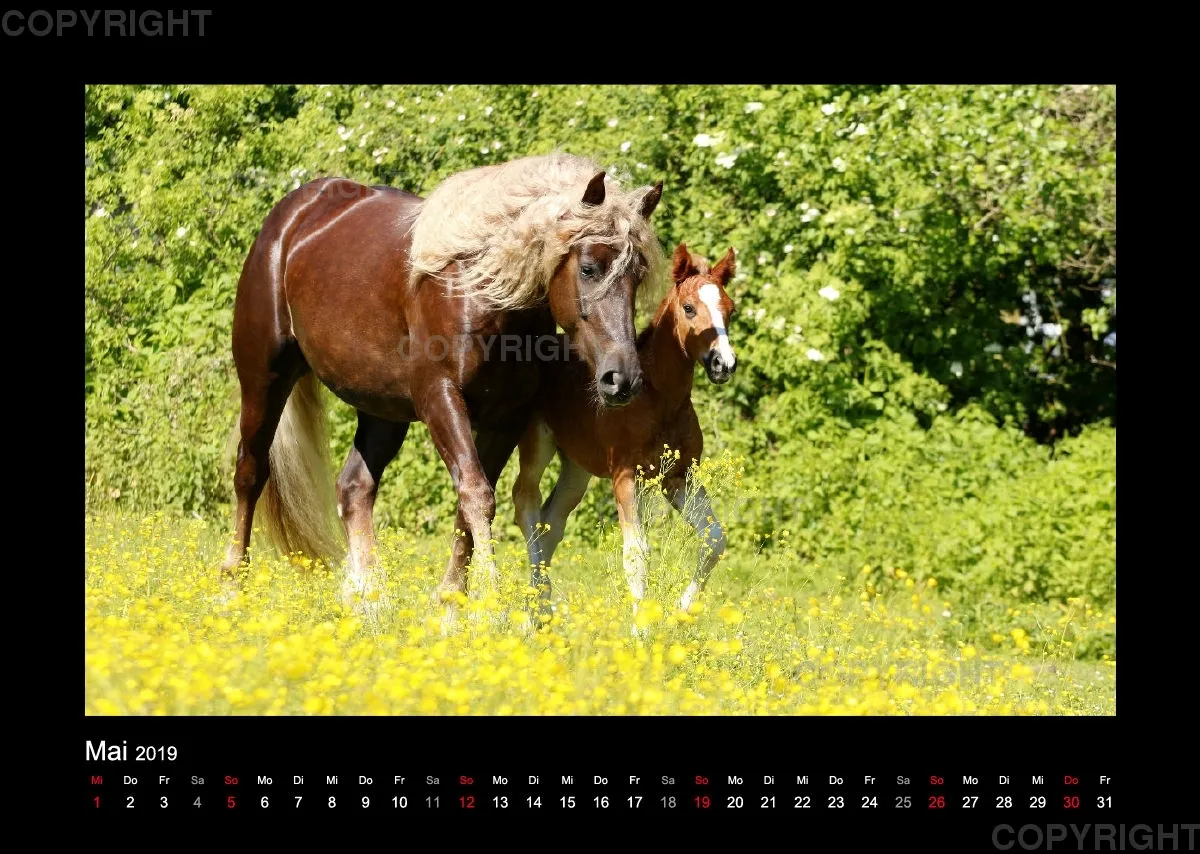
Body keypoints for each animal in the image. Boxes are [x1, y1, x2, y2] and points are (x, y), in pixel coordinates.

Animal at [219, 153, 667, 612]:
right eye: (589, 268)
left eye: (638, 276)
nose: (623, 379)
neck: (481, 292)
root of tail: (293, 215)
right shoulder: (441, 398)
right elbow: (476, 495)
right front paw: (488, 605)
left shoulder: (506, 418)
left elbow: (469, 504)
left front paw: (452, 603)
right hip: (264, 379)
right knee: (249, 472)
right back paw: (233, 586)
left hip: (383, 411)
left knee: (354, 488)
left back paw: (370, 600)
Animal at [511, 242, 737, 614]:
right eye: (689, 308)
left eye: (730, 310)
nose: (724, 364)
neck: (660, 399)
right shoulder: (625, 474)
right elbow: (636, 555)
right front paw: (641, 627)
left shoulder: (679, 477)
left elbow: (715, 539)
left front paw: (681, 612)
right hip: (537, 444)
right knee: (526, 501)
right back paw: (536, 607)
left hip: (577, 467)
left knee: (552, 521)